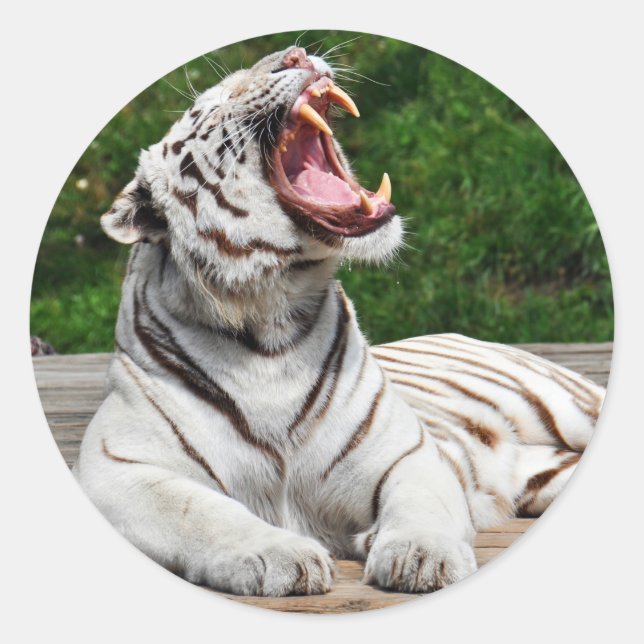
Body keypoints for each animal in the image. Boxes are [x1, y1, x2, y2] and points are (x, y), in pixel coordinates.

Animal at [74, 45, 604, 597]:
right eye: (212, 106)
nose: (295, 53)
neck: (270, 320)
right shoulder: (117, 467)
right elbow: (201, 511)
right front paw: (278, 556)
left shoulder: (406, 451)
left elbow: (421, 503)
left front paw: (423, 557)